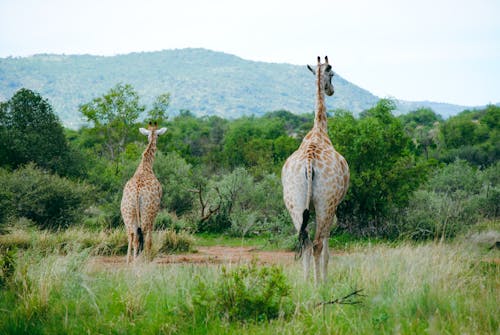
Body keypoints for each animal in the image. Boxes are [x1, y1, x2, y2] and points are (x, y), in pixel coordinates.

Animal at [121, 122, 168, 264]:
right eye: (158, 134)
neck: (145, 166)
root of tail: (137, 193)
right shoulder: (155, 214)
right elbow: (149, 240)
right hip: (148, 213)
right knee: (144, 237)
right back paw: (141, 261)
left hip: (128, 214)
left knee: (131, 236)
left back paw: (129, 262)